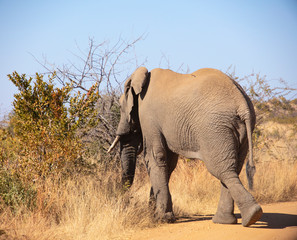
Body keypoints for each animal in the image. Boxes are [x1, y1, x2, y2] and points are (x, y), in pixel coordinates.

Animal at [108, 67, 262, 227]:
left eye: (121, 107)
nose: (123, 202)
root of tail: (242, 103)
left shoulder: (148, 117)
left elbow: (155, 157)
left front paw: (161, 218)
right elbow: (168, 163)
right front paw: (157, 215)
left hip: (214, 128)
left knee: (222, 170)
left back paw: (251, 216)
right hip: (239, 130)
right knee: (234, 169)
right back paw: (226, 221)